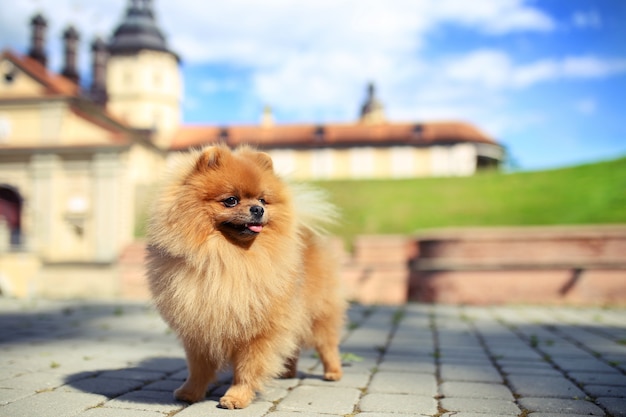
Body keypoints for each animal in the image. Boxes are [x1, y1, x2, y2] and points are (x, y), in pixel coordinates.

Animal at [144, 145, 344, 408]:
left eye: (262, 200)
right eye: (231, 200)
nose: (258, 209)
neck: (227, 259)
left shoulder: (259, 330)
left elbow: (248, 368)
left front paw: (236, 397)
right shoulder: (199, 327)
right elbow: (198, 368)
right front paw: (191, 392)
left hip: (318, 314)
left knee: (327, 344)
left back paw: (333, 372)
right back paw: (287, 372)